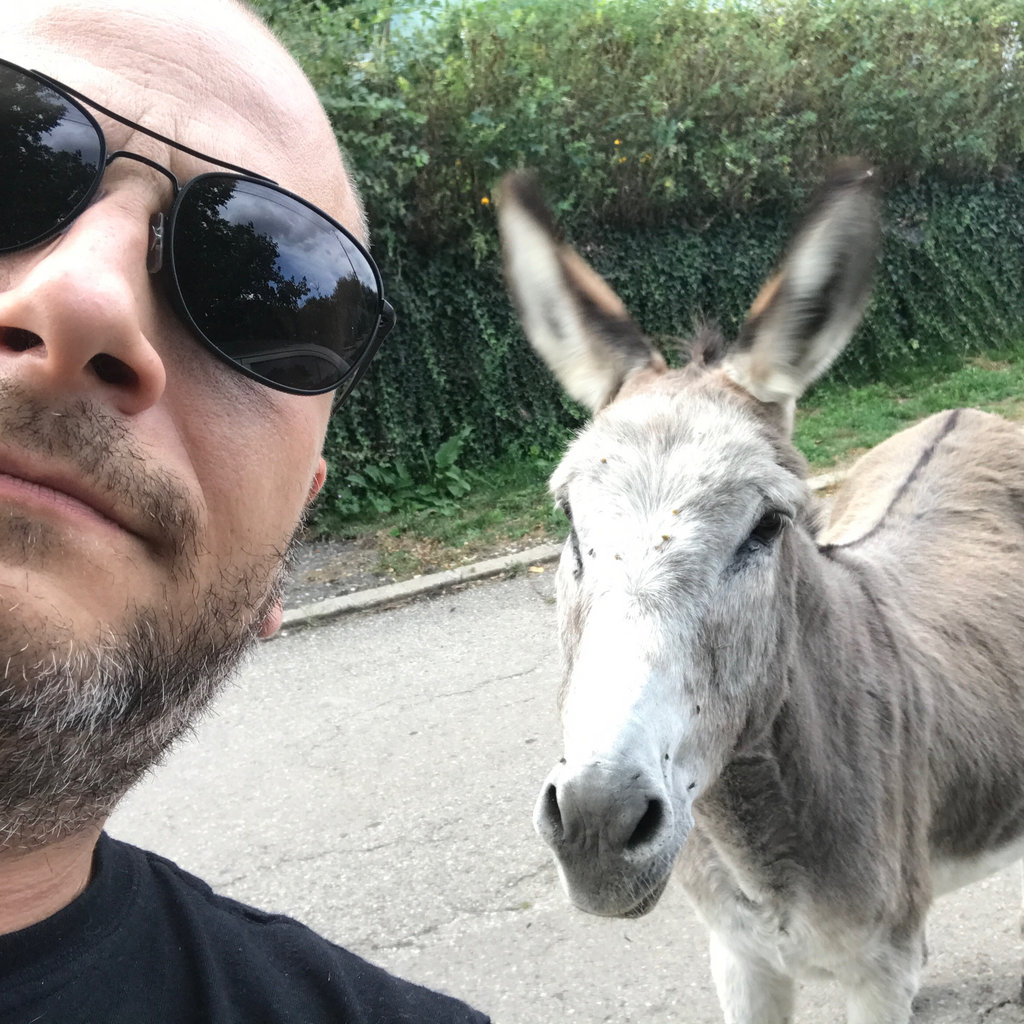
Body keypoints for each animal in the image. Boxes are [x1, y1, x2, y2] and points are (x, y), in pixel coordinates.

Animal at [497, 162, 1024, 1023]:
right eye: (569, 519)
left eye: (769, 526)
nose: (599, 824)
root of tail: (966, 410)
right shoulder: (739, 956)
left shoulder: (876, 972)